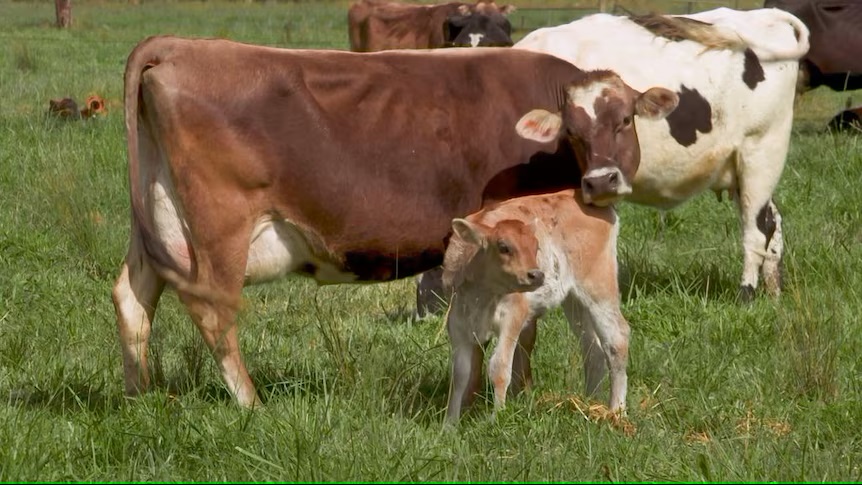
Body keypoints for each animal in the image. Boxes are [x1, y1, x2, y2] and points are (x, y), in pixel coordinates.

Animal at [446, 189, 628, 424]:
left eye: (536, 247)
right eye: (503, 247)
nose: (537, 274)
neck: (482, 296)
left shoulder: (513, 317)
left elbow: (499, 366)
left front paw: (497, 417)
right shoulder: (457, 324)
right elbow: (460, 373)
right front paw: (450, 423)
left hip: (599, 287)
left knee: (617, 338)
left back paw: (617, 411)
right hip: (575, 301)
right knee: (593, 349)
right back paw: (590, 403)